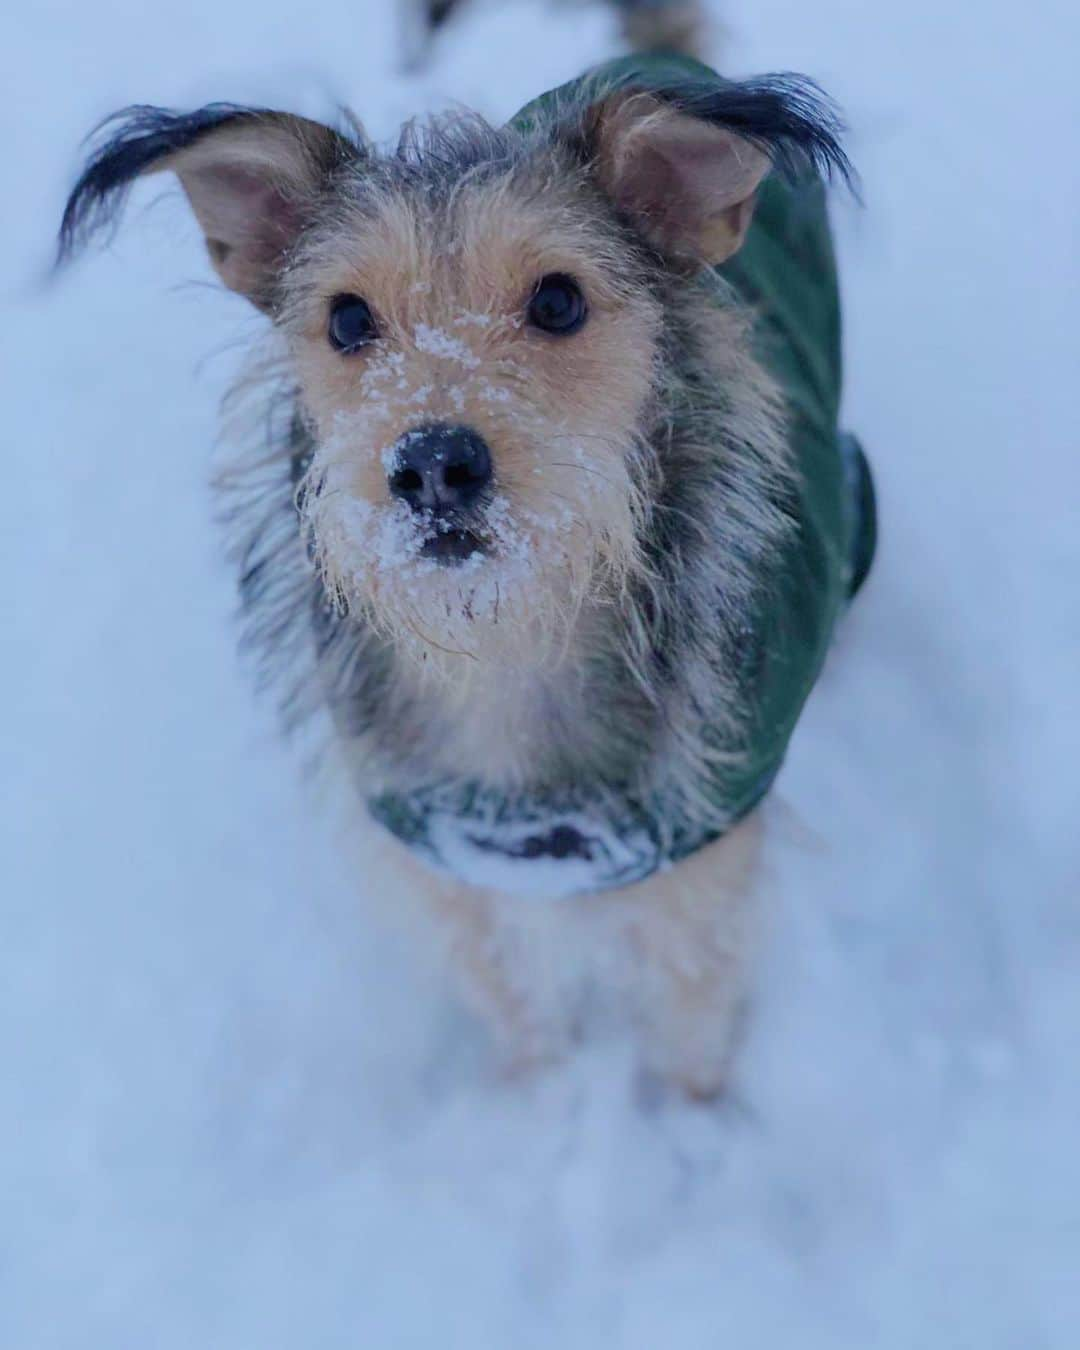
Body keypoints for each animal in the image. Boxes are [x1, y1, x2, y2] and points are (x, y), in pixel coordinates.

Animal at [54, 0, 874, 1096]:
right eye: (347, 319)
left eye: (559, 300)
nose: (434, 464)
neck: (504, 648)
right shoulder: (440, 863)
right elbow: (516, 1008)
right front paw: (540, 1101)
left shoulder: (704, 858)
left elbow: (688, 1030)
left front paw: (689, 1126)